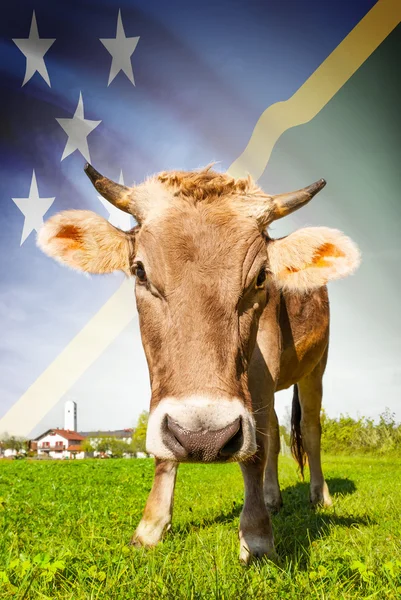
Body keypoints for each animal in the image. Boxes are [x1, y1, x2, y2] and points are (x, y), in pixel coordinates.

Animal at [37, 164, 360, 564]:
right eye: (140, 271)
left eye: (261, 277)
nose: (203, 438)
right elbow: (167, 449)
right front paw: (150, 527)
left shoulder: (263, 363)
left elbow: (254, 452)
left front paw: (256, 536)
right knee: (271, 430)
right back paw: (273, 497)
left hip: (316, 367)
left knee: (310, 431)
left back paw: (319, 496)